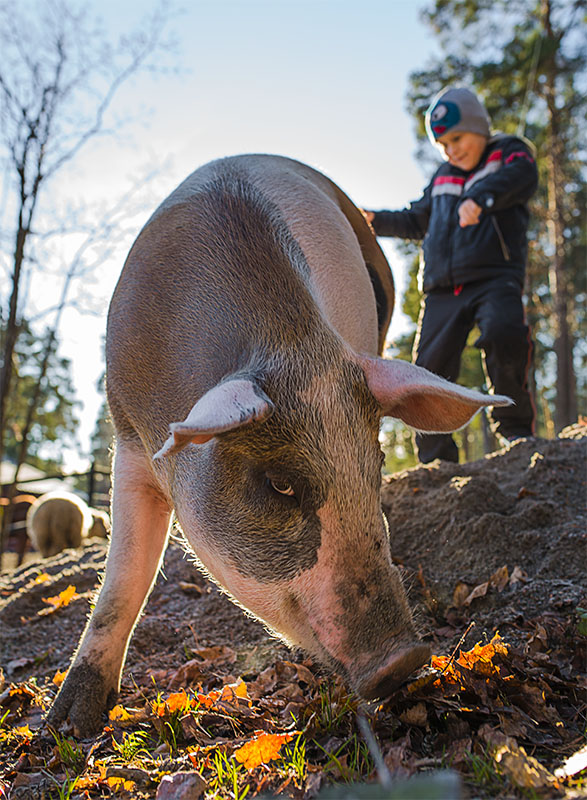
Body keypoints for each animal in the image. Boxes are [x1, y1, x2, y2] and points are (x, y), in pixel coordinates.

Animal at [48, 153, 512, 736]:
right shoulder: (129, 437)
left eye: (377, 464)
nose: (405, 658)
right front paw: (67, 726)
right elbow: (123, 579)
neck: (292, 344)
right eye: (280, 484)